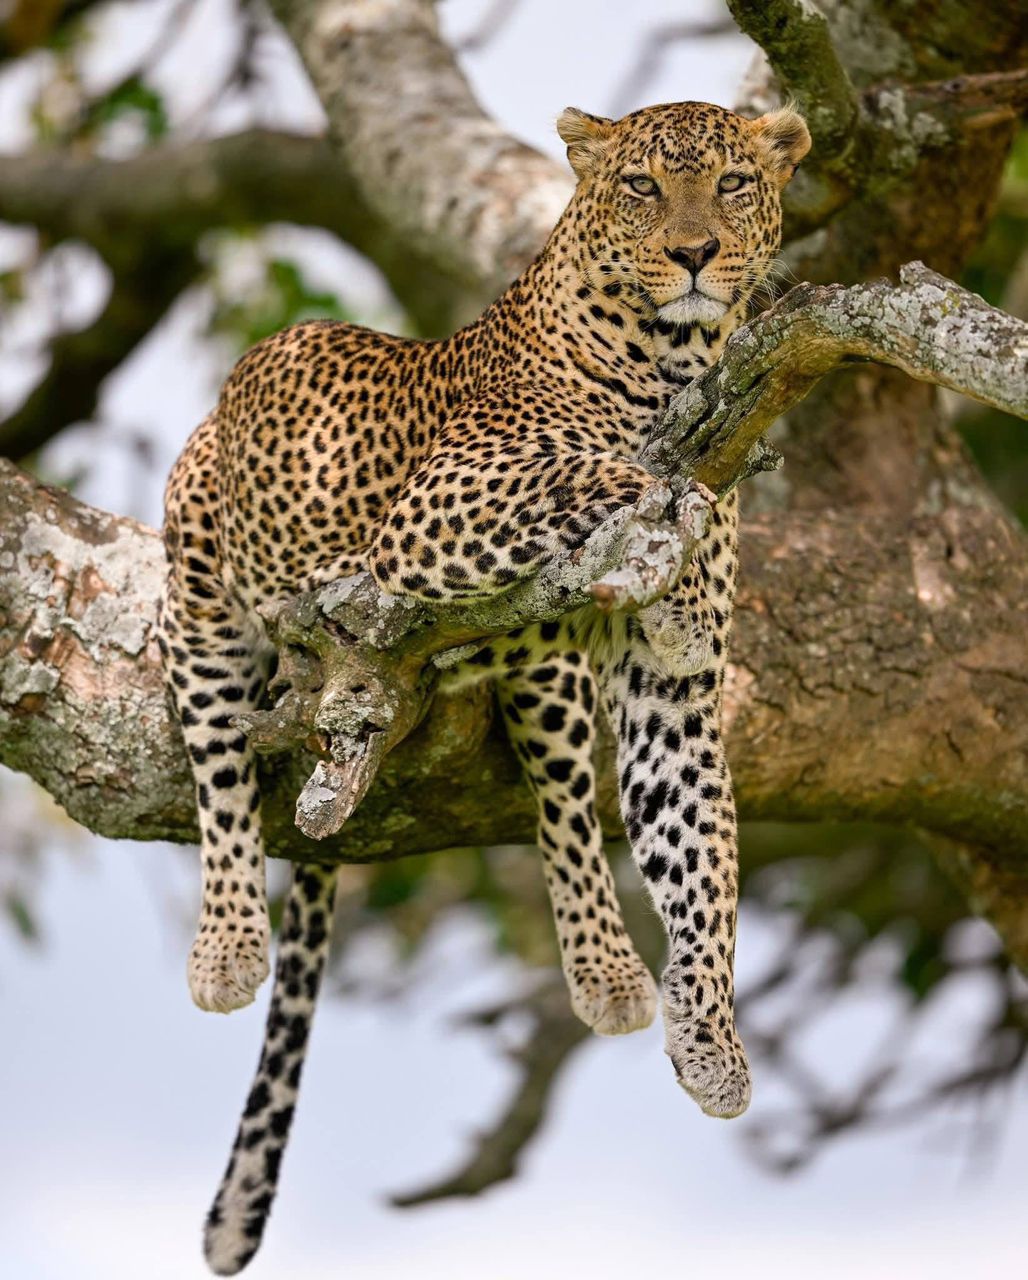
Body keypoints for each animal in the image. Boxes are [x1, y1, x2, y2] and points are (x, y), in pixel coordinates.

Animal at [157, 99, 810, 1274]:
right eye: (642, 187)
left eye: (734, 183)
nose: (694, 252)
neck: (672, 363)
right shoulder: (442, 508)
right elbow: (597, 468)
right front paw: (662, 507)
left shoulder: (676, 693)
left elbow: (699, 858)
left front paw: (710, 1039)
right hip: (199, 589)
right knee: (222, 767)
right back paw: (227, 946)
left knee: (558, 798)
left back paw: (612, 976)